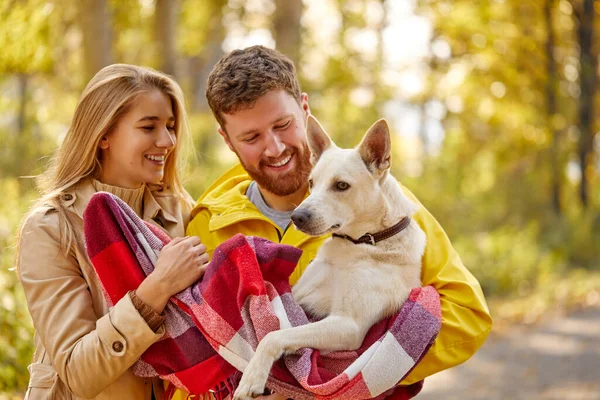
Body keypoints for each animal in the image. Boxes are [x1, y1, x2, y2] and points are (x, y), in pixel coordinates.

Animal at [234, 115, 426, 400]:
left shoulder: (348, 325)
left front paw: (252, 378)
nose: (297, 217)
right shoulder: (299, 294)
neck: (361, 243)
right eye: (311, 183)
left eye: (341, 186)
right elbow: (279, 322)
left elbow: (274, 336)